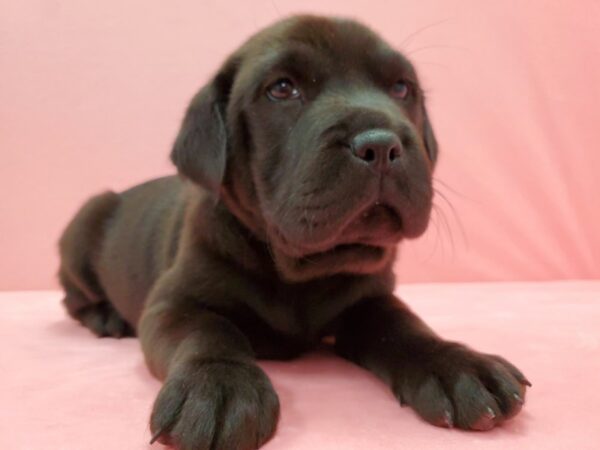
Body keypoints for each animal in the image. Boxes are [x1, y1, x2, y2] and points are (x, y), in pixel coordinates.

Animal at [58, 15, 528, 450]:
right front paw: (219, 386)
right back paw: (106, 316)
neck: (300, 270)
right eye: (282, 89)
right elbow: (207, 332)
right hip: (84, 224)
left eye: (401, 88)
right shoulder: (173, 303)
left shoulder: (371, 299)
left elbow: (405, 326)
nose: (381, 145)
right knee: (72, 297)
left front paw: (455, 363)